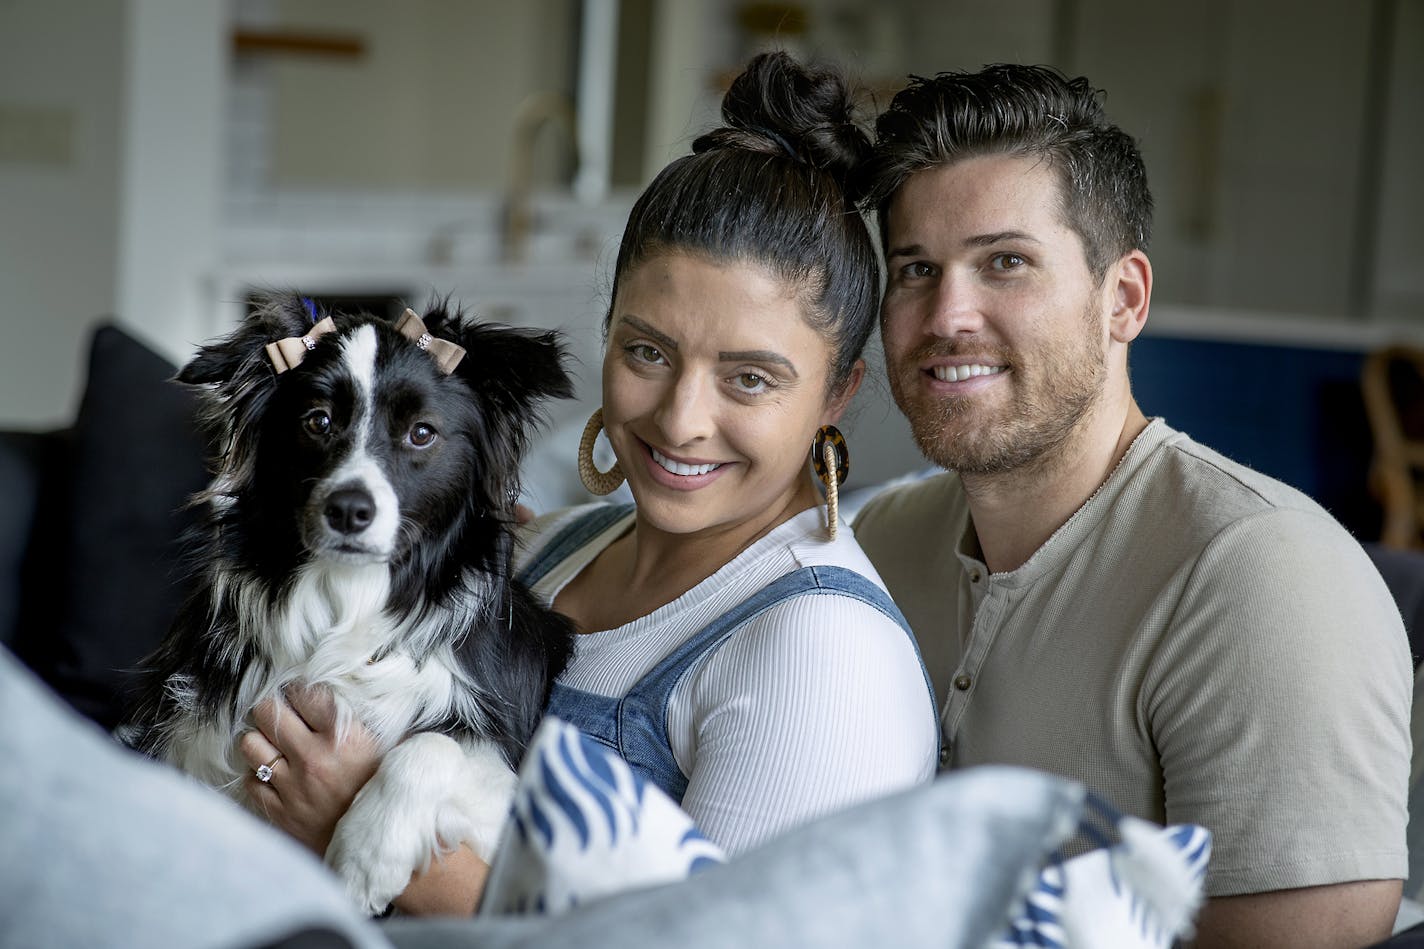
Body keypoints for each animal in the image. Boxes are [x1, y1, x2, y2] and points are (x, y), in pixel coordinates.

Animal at [122, 293, 575, 911]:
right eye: (318, 422)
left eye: (422, 433)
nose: (348, 510)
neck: (348, 602)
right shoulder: (185, 738)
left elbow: (435, 742)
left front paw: (366, 855)